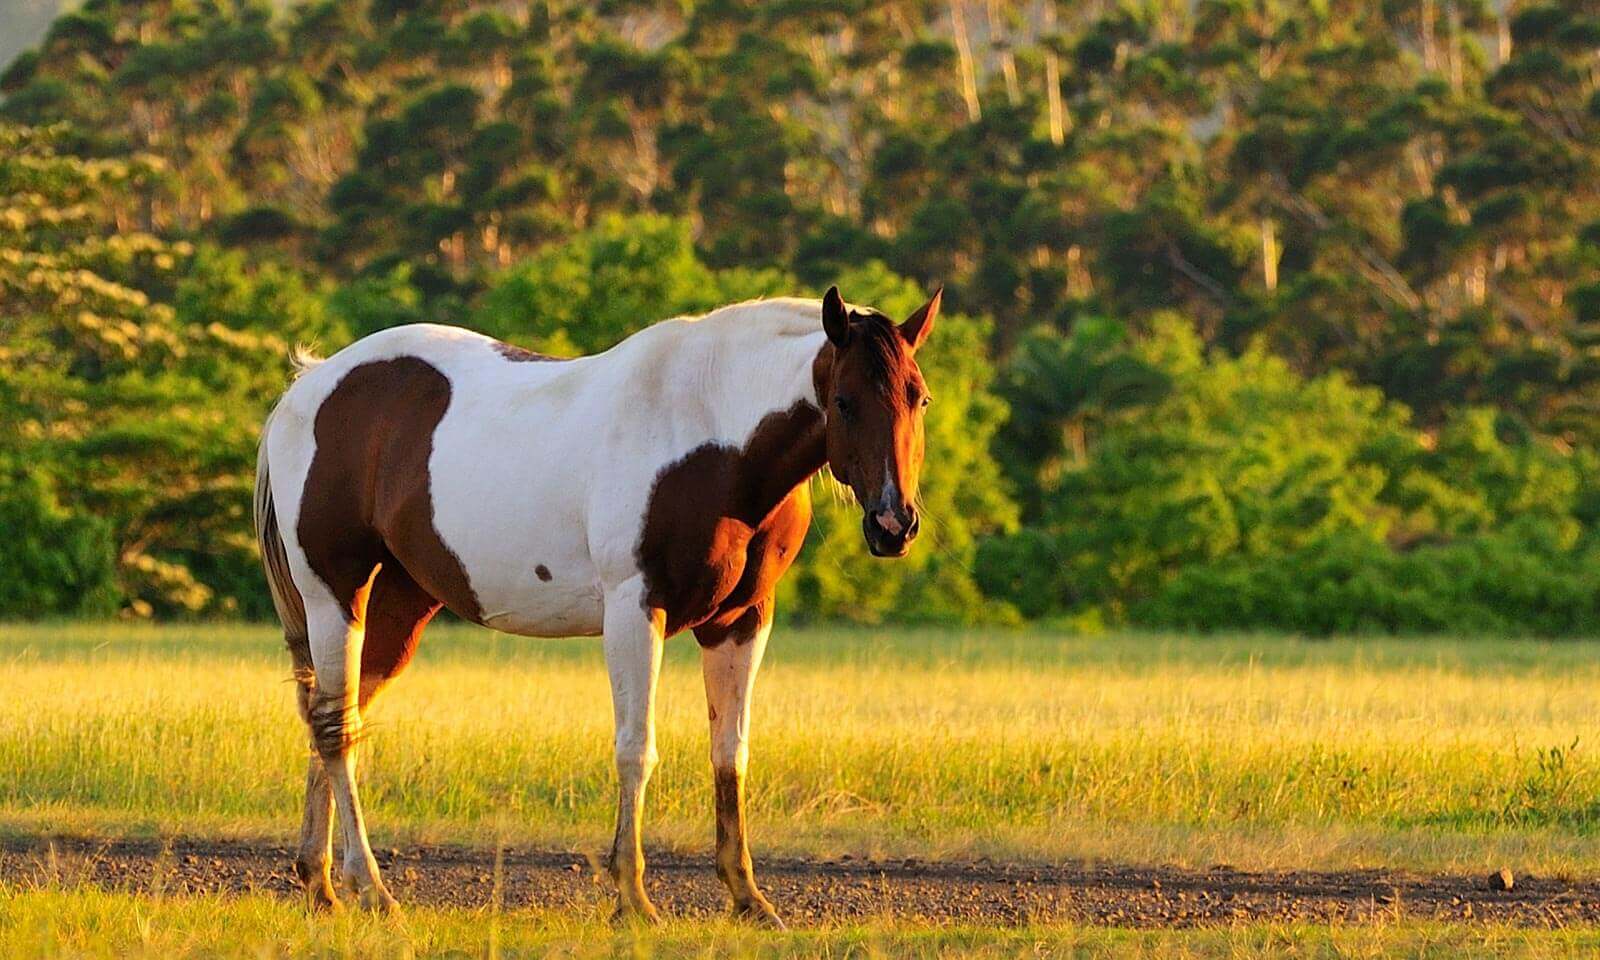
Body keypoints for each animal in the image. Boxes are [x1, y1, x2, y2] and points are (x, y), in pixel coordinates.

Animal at [252, 283, 934, 921]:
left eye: (918, 397)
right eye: (843, 401)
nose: (894, 525)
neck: (710, 435)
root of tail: (311, 386)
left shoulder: (741, 621)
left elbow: (729, 752)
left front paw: (748, 898)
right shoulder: (635, 610)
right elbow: (636, 748)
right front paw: (632, 898)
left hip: (400, 606)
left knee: (338, 718)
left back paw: (320, 882)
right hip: (334, 595)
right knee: (336, 730)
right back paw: (370, 887)